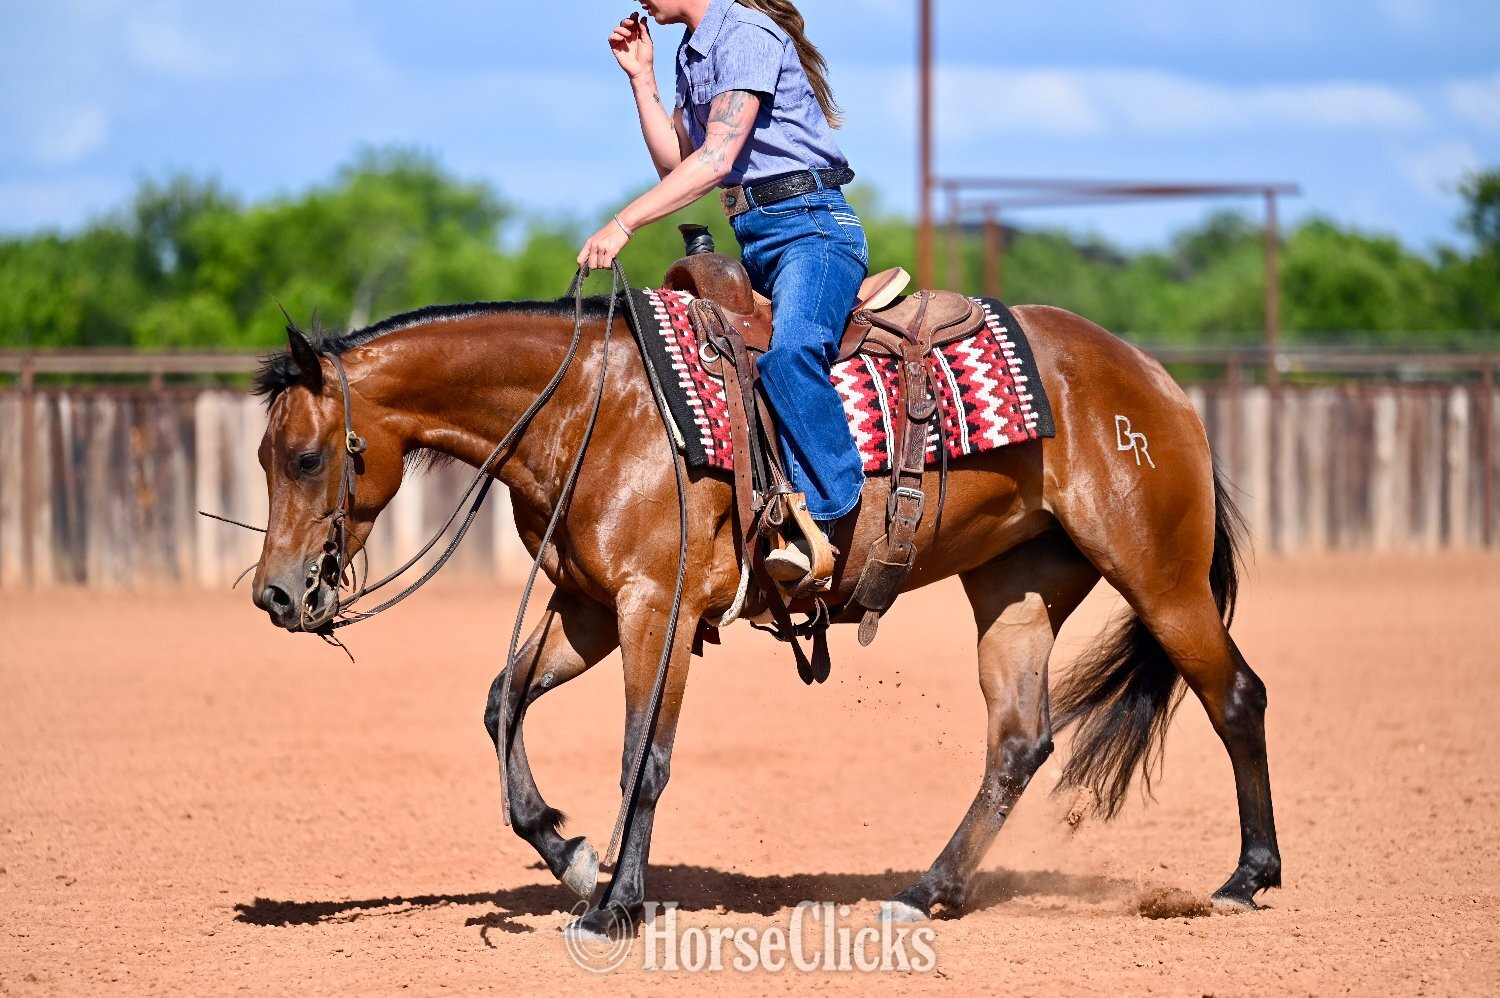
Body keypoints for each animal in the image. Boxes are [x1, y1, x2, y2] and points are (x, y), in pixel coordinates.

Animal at [248, 284, 1280, 938]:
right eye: (262, 457)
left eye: (306, 456)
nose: (276, 593)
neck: (592, 408)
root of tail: (1158, 382)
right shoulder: (587, 606)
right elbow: (504, 703)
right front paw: (571, 856)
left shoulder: (655, 609)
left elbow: (644, 757)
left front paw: (616, 906)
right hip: (1017, 590)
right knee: (1019, 744)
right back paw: (927, 892)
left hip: (1160, 576)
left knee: (1236, 697)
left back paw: (1245, 878)